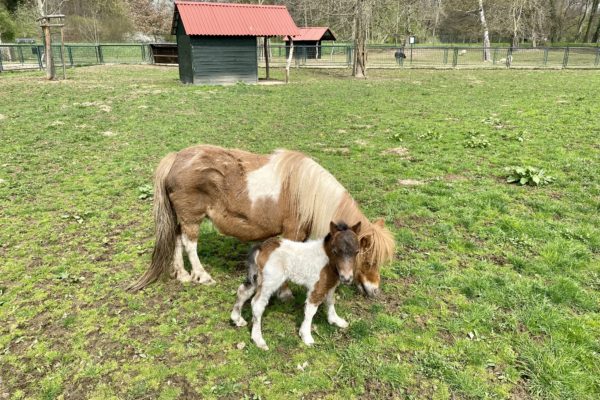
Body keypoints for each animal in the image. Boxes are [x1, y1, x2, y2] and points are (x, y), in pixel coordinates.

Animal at [127, 145, 394, 296]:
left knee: (177, 240)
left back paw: (182, 275)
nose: (374, 291)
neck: (308, 192)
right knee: (190, 244)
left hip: (180, 218)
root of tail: (175, 158)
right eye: (367, 258)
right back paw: (201, 276)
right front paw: (285, 293)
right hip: (192, 218)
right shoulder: (293, 232)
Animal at [231, 222, 360, 350]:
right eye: (335, 251)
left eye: (357, 252)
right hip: (270, 281)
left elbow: (330, 302)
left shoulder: (330, 286)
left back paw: (237, 319)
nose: (346, 278)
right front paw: (306, 336)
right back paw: (258, 340)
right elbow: (311, 311)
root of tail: (261, 248)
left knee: (243, 291)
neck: (327, 260)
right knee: (257, 304)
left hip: (257, 278)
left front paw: (336, 320)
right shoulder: (316, 288)